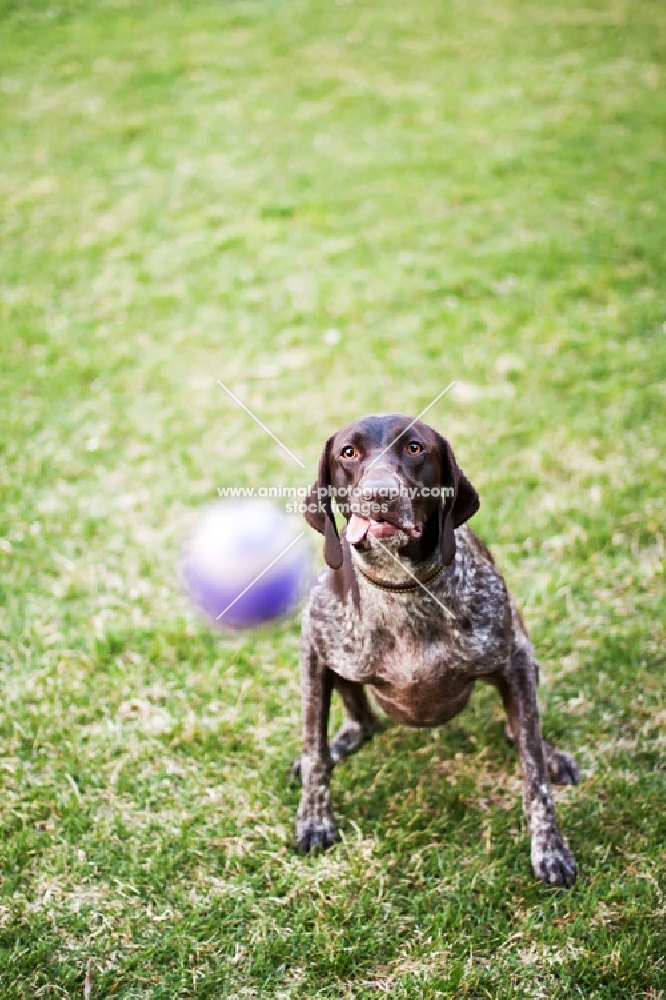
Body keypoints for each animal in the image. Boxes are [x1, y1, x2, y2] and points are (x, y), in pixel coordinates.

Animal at [290, 416, 576, 892]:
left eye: (414, 448)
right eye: (348, 453)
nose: (380, 495)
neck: (403, 590)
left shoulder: (513, 661)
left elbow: (534, 778)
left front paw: (550, 848)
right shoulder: (314, 652)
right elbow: (314, 754)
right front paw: (314, 819)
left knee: (523, 732)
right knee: (362, 722)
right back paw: (341, 742)